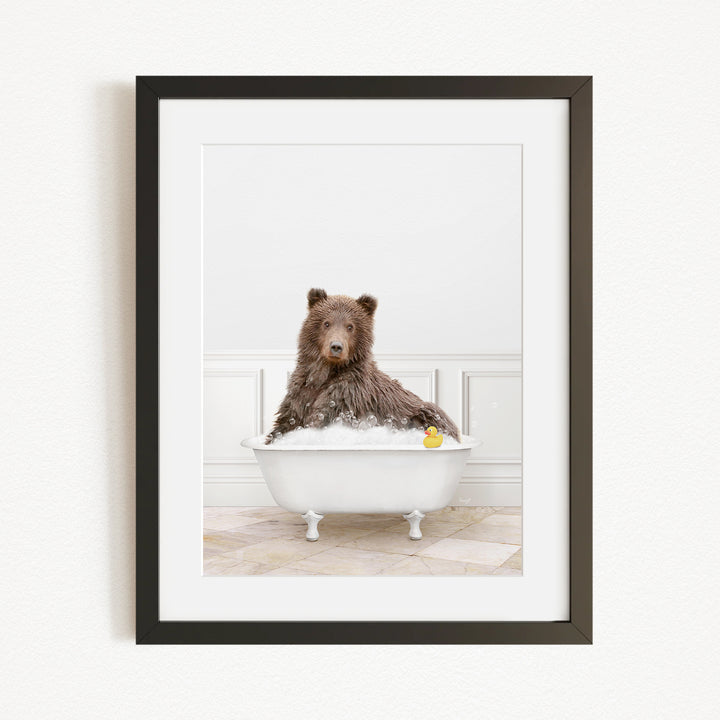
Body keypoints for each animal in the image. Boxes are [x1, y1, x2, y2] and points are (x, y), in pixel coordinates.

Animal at [266, 288, 461, 443]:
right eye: (326, 323)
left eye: (350, 326)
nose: (336, 346)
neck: (325, 373)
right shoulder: (300, 394)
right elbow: (285, 423)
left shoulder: (347, 396)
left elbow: (324, 416)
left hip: (424, 412)